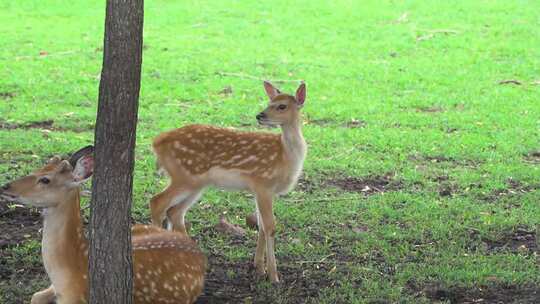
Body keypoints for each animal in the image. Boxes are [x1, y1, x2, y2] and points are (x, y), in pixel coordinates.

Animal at [150, 81, 308, 282]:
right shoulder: (263, 184)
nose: (260, 115)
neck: (286, 157)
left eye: (282, 106)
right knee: (157, 202)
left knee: (174, 212)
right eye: (269, 102)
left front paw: (258, 267)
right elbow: (270, 227)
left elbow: (261, 226)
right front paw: (274, 276)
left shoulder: (260, 190)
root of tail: (157, 142)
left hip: (195, 183)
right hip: (185, 177)